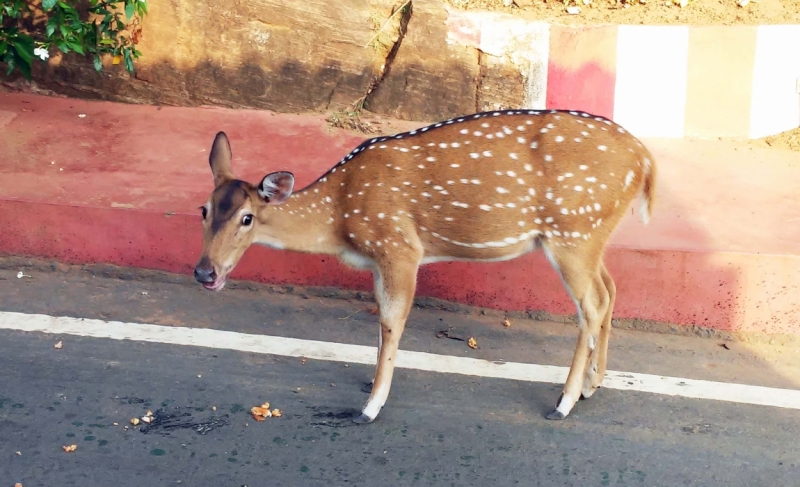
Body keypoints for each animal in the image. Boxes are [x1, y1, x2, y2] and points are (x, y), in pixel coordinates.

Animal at [194, 108, 656, 426]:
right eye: (203, 210)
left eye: (247, 218)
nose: (205, 272)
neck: (340, 215)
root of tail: (645, 161)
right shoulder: (379, 260)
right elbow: (381, 318)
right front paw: (370, 382)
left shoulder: (398, 246)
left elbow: (392, 320)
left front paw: (371, 406)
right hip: (593, 235)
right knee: (611, 290)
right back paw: (593, 385)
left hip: (573, 230)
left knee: (591, 305)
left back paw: (563, 402)